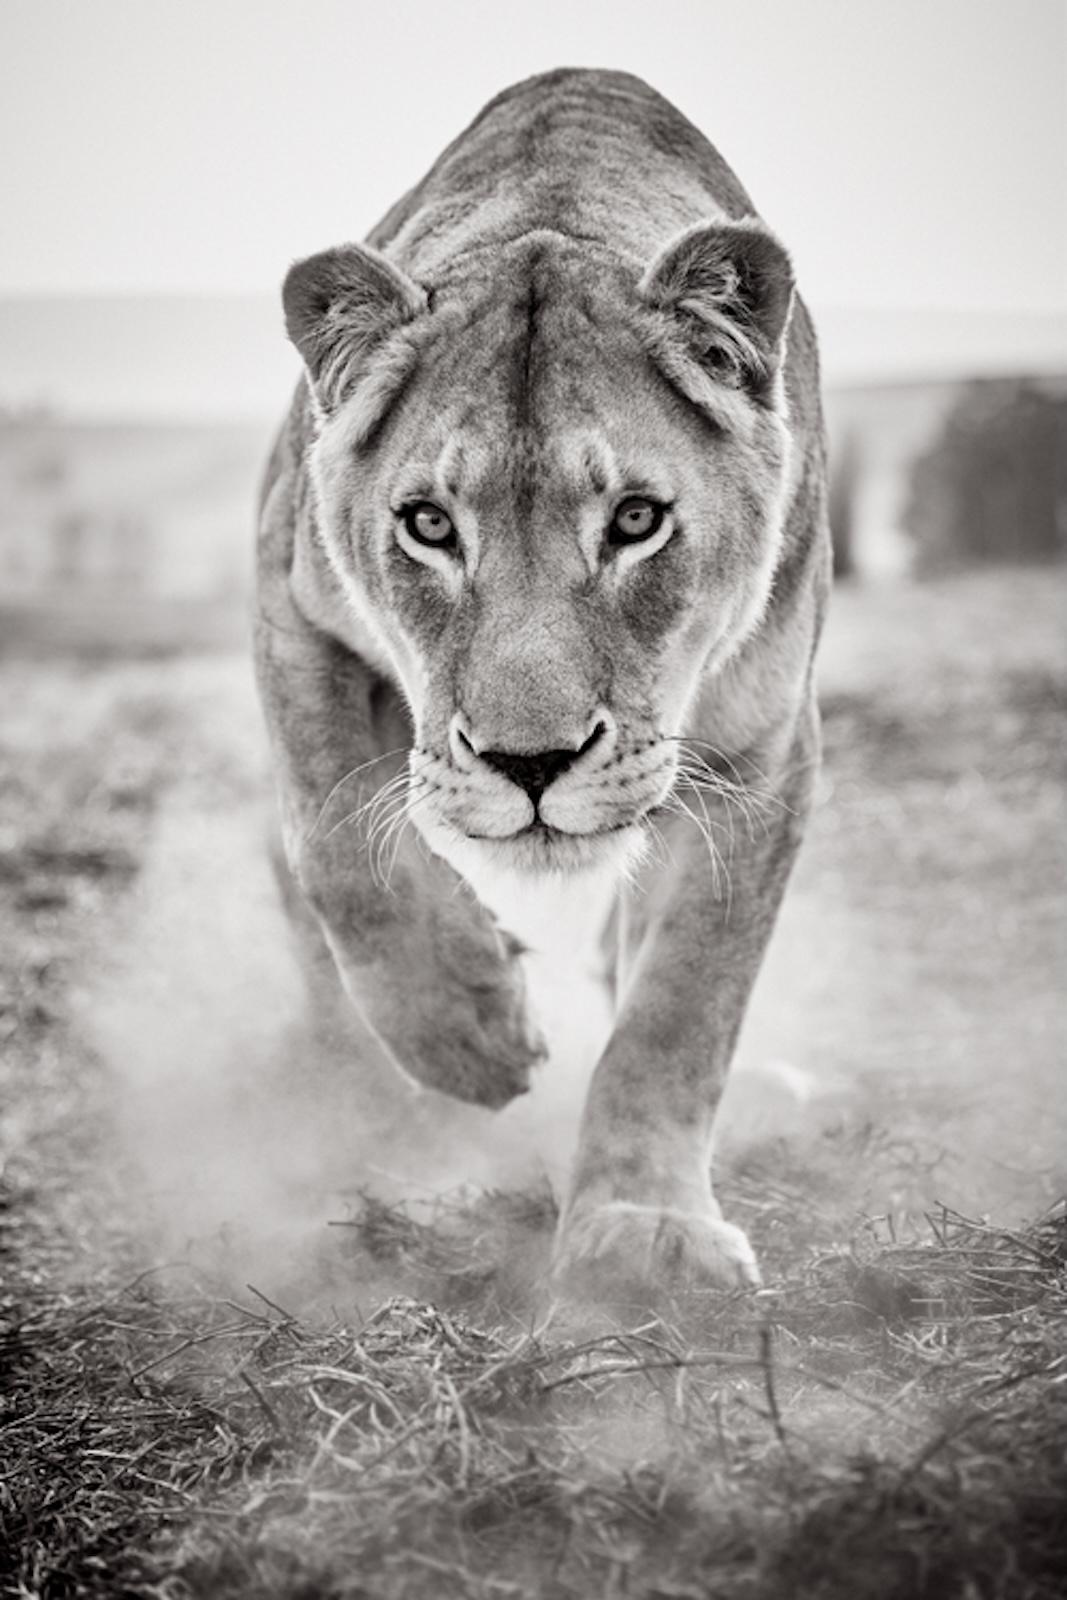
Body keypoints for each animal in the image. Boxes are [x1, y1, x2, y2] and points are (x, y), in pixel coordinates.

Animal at [254, 67, 831, 1289]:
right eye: (428, 525)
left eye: (635, 520)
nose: (530, 765)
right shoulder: (292, 607)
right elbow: (340, 853)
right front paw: (471, 1037)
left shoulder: (756, 749)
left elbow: (681, 1004)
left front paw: (645, 1228)